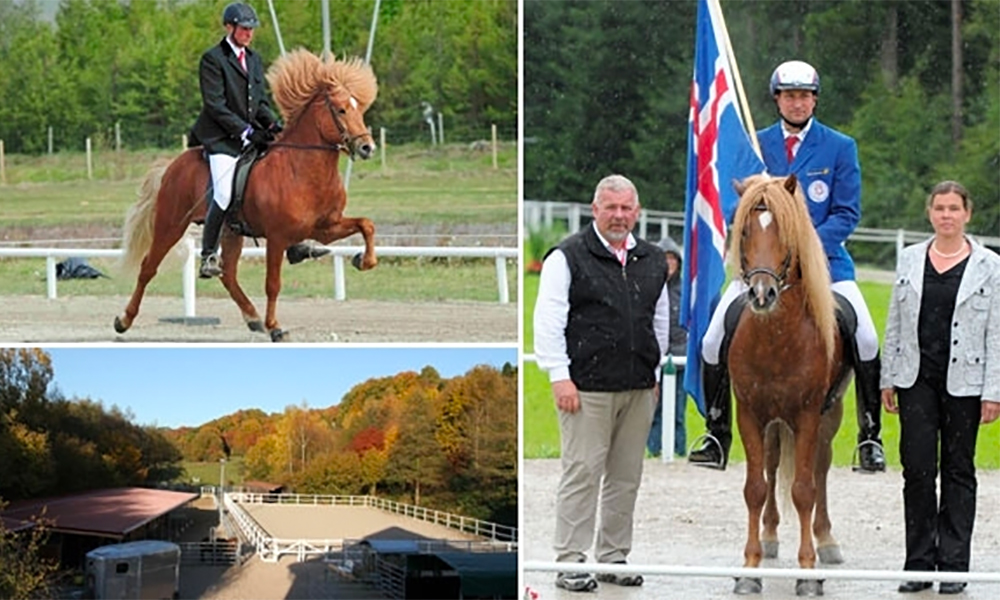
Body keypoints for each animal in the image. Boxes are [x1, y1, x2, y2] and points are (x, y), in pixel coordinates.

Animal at [113, 50, 376, 342]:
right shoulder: (277, 237)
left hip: (230, 231)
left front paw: (363, 260)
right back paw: (124, 320)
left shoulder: (326, 228)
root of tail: (173, 165)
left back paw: (252, 317)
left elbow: (367, 225)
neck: (303, 169)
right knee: (148, 267)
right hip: (171, 225)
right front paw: (275, 327)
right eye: (341, 110)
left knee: (228, 274)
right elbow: (273, 283)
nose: (367, 147)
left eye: (358, 108)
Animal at [732, 173, 848, 596]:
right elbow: (755, 487)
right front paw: (750, 568)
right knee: (770, 464)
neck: (776, 340)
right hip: (772, 423)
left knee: (820, 469)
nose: (761, 294)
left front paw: (808, 571)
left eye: (785, 231)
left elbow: (804, 489)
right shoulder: (749, 413)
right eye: (744, 230)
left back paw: (826, 540)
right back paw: (768, 537)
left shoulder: (808, 415)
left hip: (828, 418)